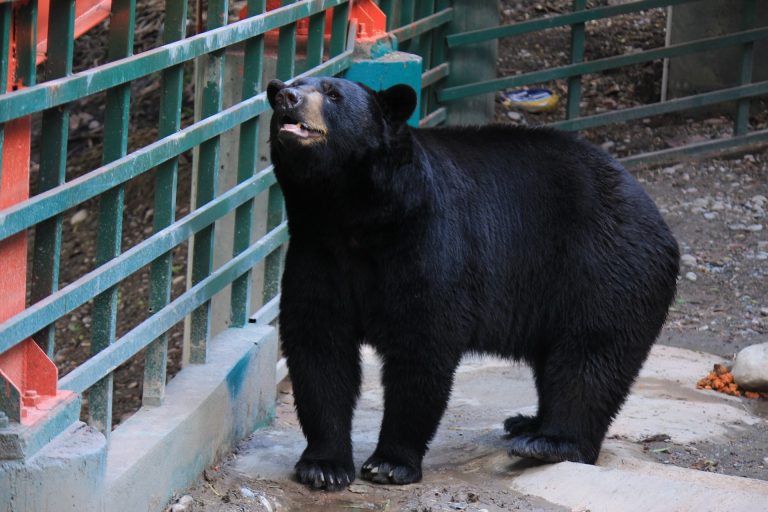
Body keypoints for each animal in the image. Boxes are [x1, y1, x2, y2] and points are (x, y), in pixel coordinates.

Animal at [266, 77, 679, 491]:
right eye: (295, 83)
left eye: (333, 93)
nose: (286, 95)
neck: (354, 214)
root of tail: (657, 218)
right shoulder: (317, 250)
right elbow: (320, 345)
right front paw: (324, 464)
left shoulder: (429, 239)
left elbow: (423, 342)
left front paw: (390, 462)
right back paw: (528, 423)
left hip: (605, 265)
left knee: (592, 352)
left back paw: (551, 441)